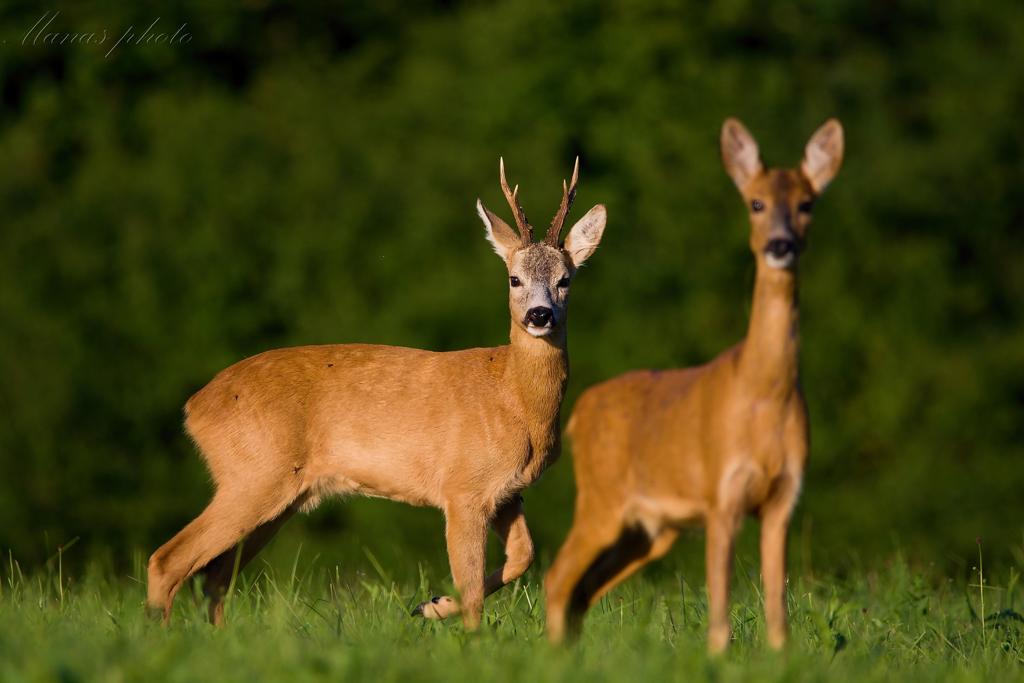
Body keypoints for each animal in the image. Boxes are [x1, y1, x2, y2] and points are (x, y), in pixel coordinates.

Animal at [147, 157, 602, 626]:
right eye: (513, 278)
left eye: (565, 279)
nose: (539, 315)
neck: (515, 396)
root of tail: (194, 406)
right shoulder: (462, 487)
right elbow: (473, 588)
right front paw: (463, 630)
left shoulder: (507, 492)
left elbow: (523, 557)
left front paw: (430, 604)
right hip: (252, 474)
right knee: (169, 559)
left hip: (278, 495)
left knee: (215, 576)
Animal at [548, 117, 843, 651]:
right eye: (756, 203)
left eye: (807, 203)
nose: (781, 245)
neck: (763, 393)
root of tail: (579, 412)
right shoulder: (719, 494)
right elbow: (720, 608)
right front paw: (718, 657)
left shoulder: (783, 499)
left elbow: (778, 610)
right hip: (601, 500)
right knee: (557, 579)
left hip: (648, 531)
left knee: (581, 590)